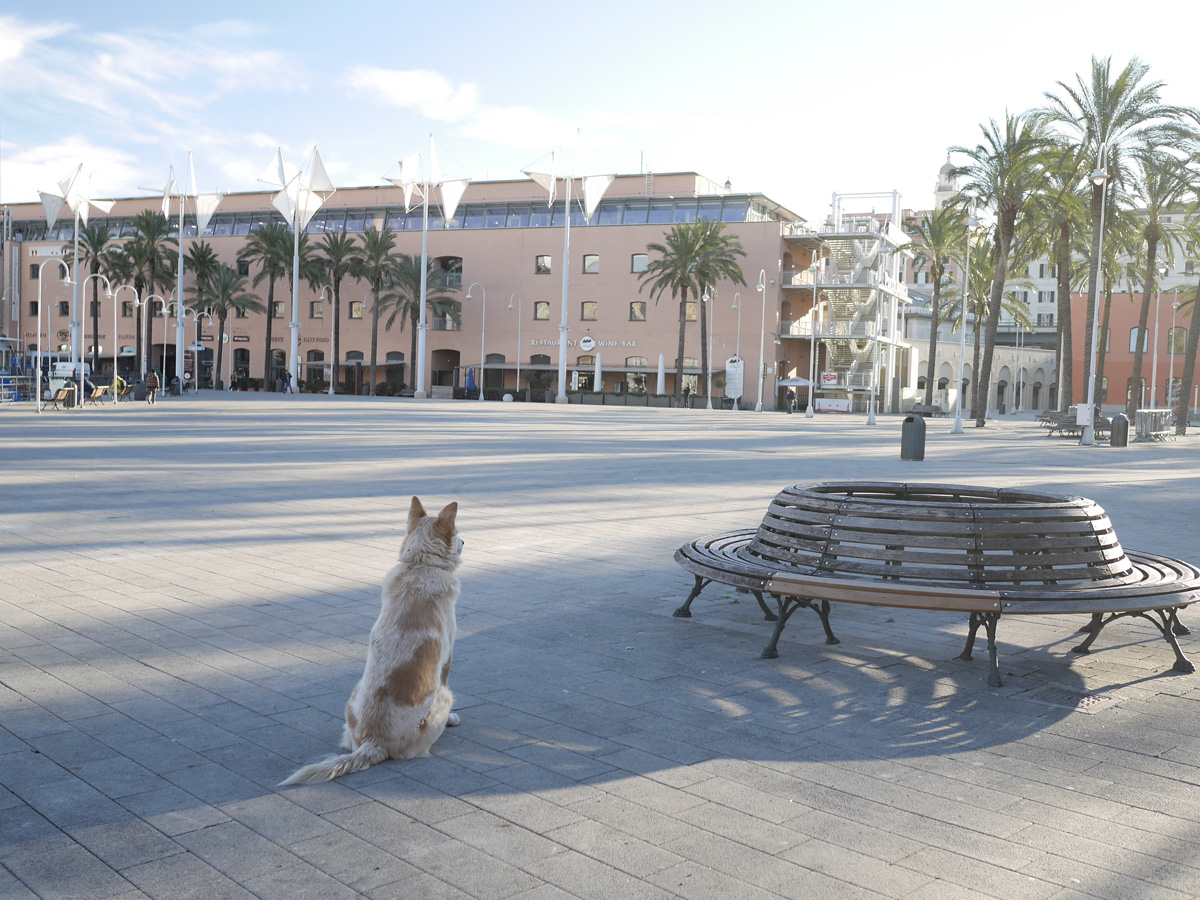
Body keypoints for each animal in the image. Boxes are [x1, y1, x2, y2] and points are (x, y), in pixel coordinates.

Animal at [282, 496, 463, 787]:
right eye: (457, 534)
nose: (464, 542)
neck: (420, 564)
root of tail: (374, 741)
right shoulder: (447, 657)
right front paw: (453, 720)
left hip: (354, 695)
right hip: (443, 695)